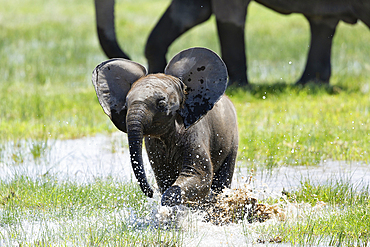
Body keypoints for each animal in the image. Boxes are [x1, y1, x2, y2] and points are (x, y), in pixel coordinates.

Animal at [91, 47, 238, 206]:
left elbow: (200, 176)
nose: (150, 193)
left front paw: (169, 205)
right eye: (126, 104)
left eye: (161, 104)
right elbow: (164, 179)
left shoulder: (195, 132)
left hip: (232, 140)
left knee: (221, 182)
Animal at [95, 0, 370, 85]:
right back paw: (309, 83)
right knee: (322, 22)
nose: (123, 55)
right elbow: (188, 12)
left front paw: (236, 85)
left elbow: (227, 16)